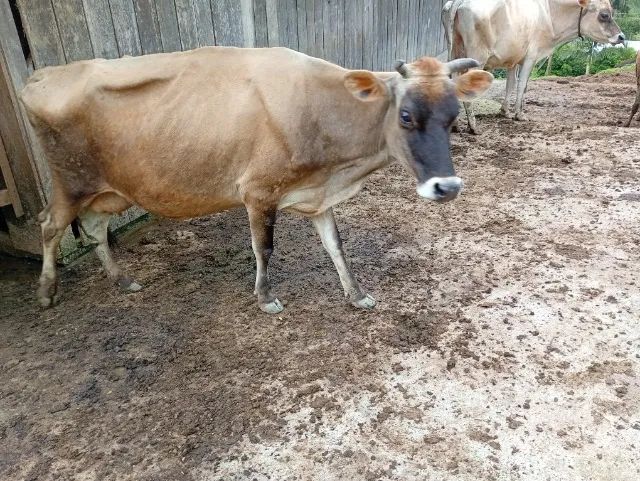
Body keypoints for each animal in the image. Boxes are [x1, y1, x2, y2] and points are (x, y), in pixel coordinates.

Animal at [21, 47, 493, 313]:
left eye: (453, 116)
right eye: (406, 115)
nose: (447, 187)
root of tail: (41, 75)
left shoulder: (318, 195)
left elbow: (336, 245)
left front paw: (356, 293)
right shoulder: (258, 191)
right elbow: (263, 248)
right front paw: (265, 299)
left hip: (108, 191)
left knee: (95, 228)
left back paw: (122, 279)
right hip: (70, 182)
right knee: (49, 225)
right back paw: (45, 292)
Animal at [443, 0, 624, 133]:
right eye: (604, 15)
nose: (621, 36)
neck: (550, 15)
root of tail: (459, 2)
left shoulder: (514, 59)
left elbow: (511, 84)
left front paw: (505, 111)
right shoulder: (531, 56)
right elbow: (522, 85)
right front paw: (519, 114)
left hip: (456, 54)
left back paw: (454, 125)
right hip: (477, 57)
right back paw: (473, 127)